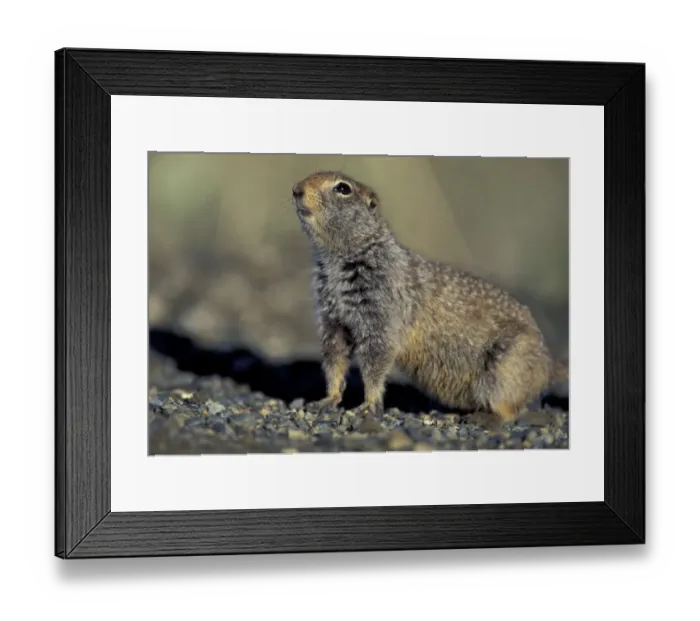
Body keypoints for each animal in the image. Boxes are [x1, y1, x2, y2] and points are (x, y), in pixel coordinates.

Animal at [292, 171, 568, 428]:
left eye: (343, 188)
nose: (296, 189)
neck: (341, 258)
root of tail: (547, 365)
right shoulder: (331, 316)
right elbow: (334, 357)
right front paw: (326, 400)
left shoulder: (382, 309)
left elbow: (376, 358)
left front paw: (367, 405)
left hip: (504, 370)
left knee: (511, 410)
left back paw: (483, 418)